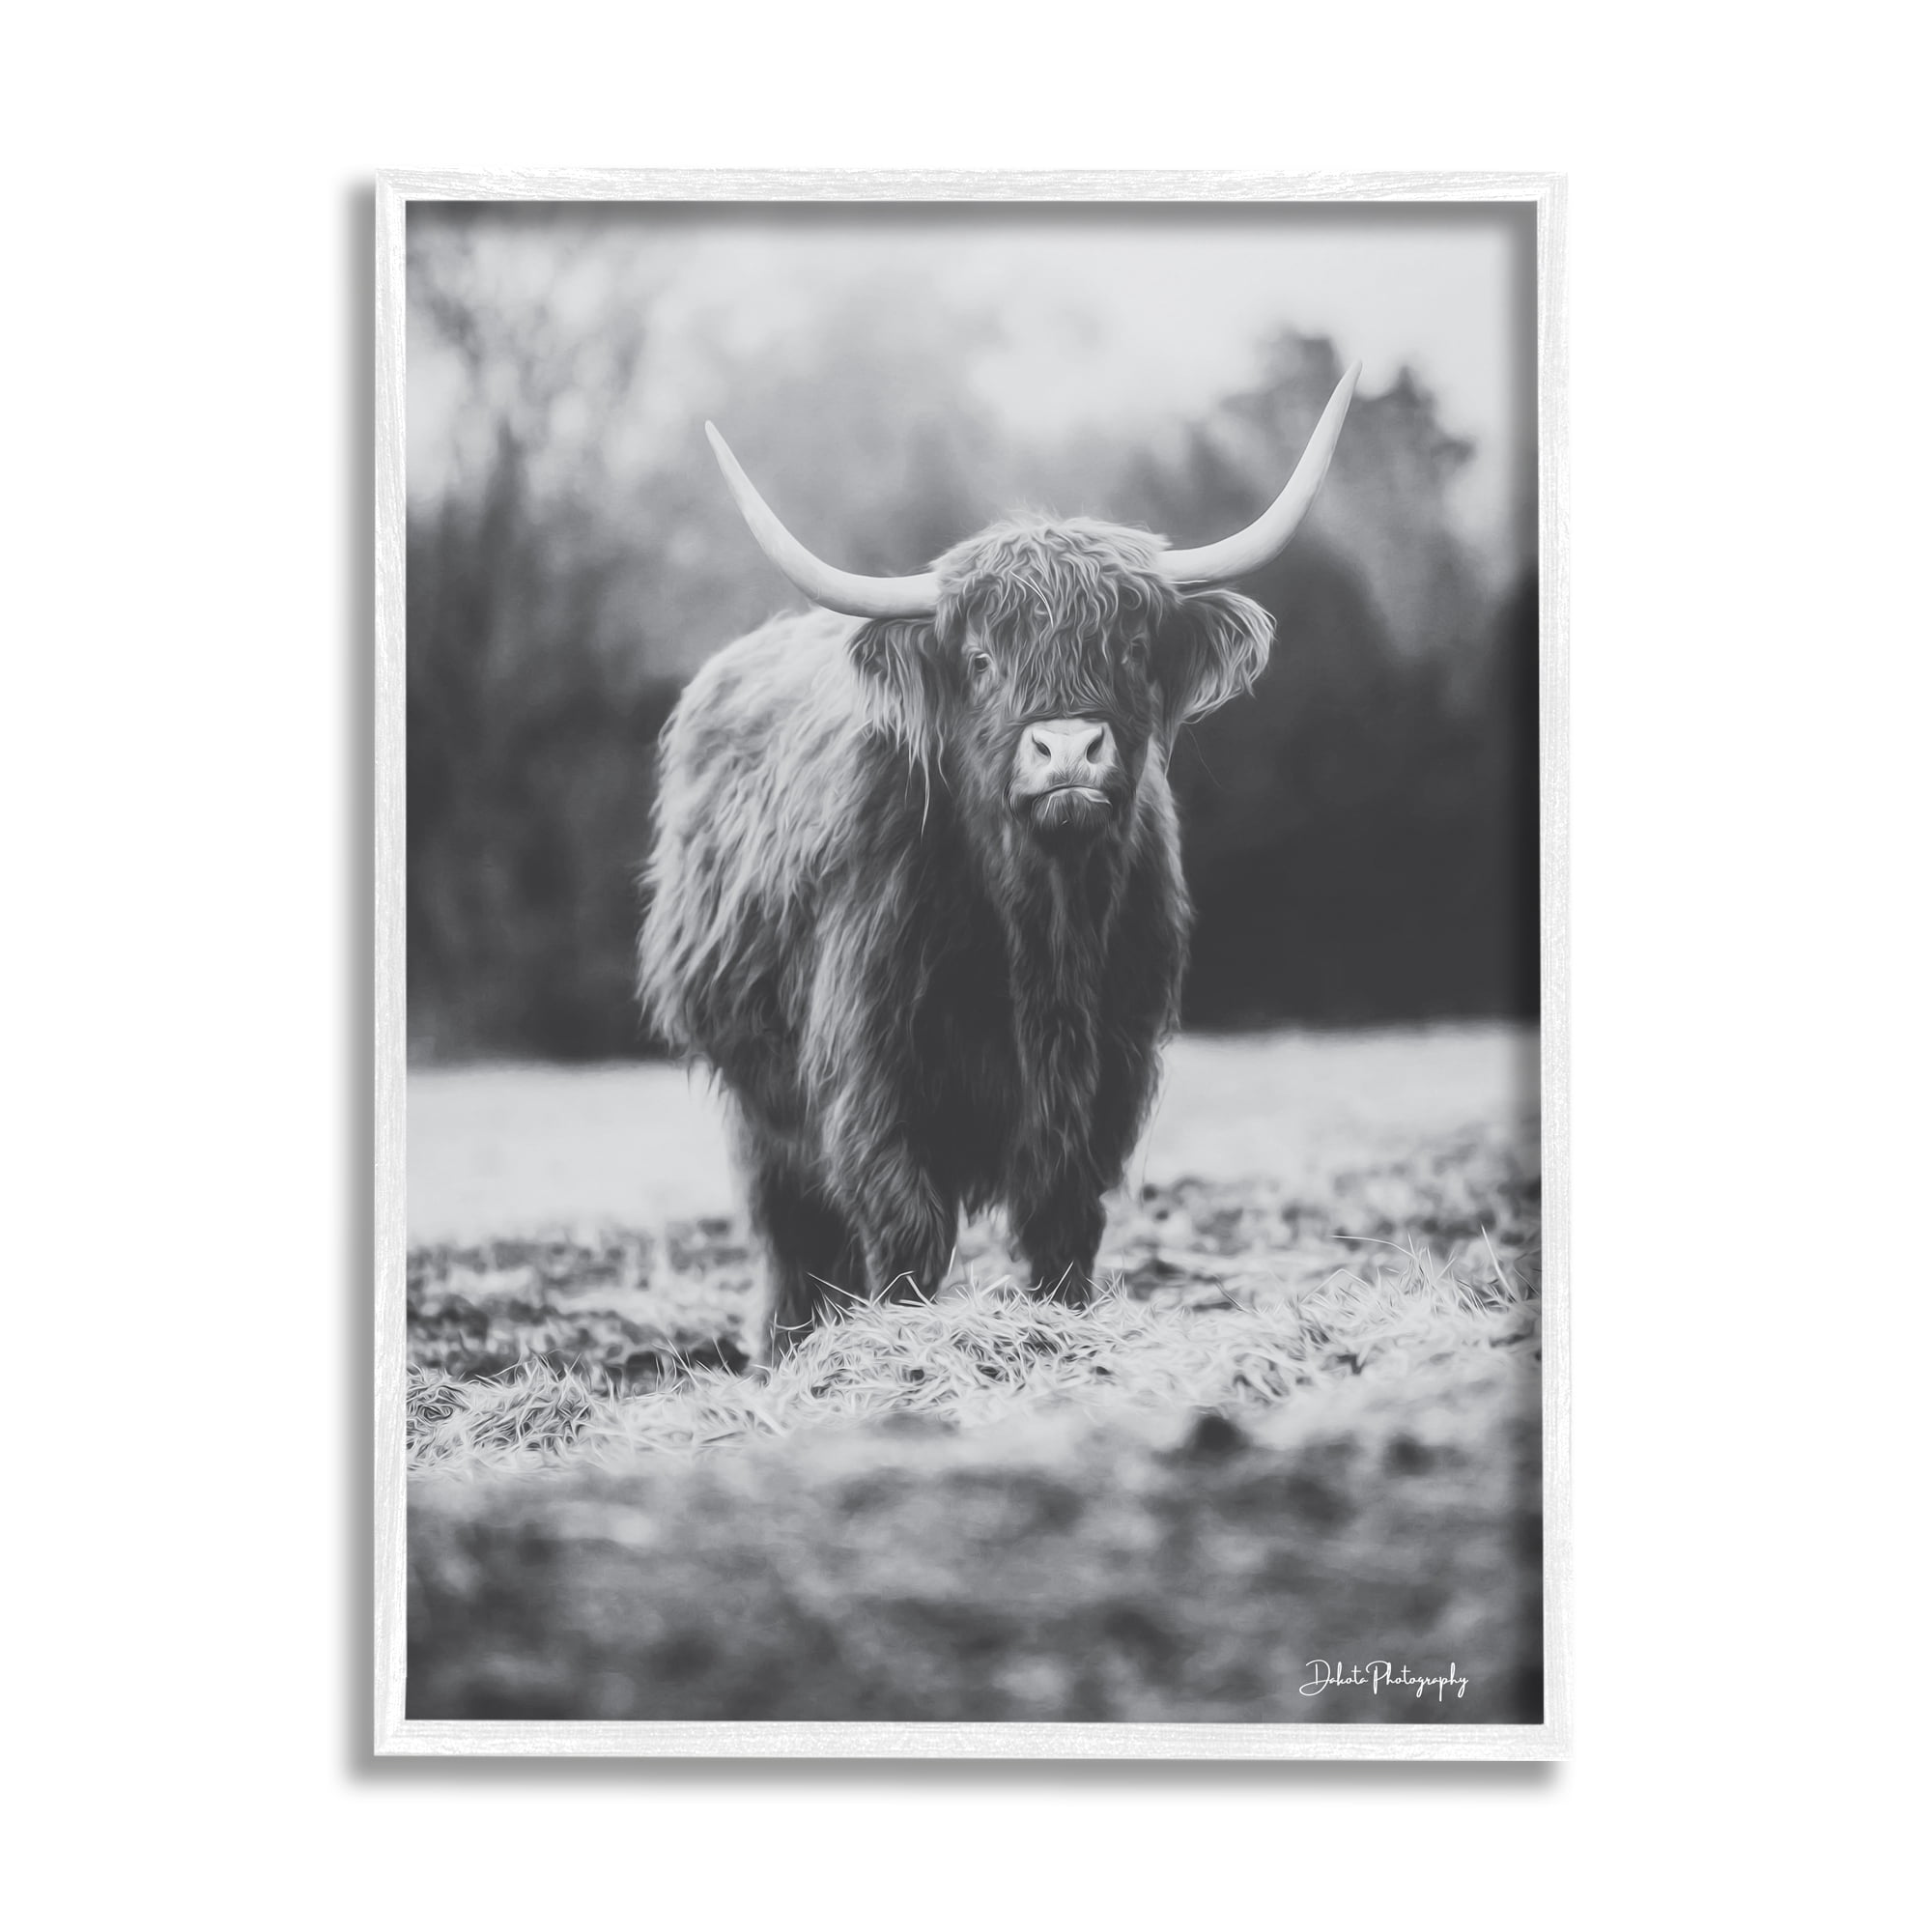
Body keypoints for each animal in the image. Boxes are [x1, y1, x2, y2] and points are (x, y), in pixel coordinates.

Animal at [640, 366, 1358, 1362]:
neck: (1040, 924)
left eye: (1133, 647)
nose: (1067, 751)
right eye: (980, 659)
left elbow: (1065, 1220)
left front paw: (1061, 1327)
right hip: (756, 1092)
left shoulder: (1110, 1069)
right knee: (790, 1228)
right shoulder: (866, 1067)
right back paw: (787, 1350)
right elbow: (903, 1223)